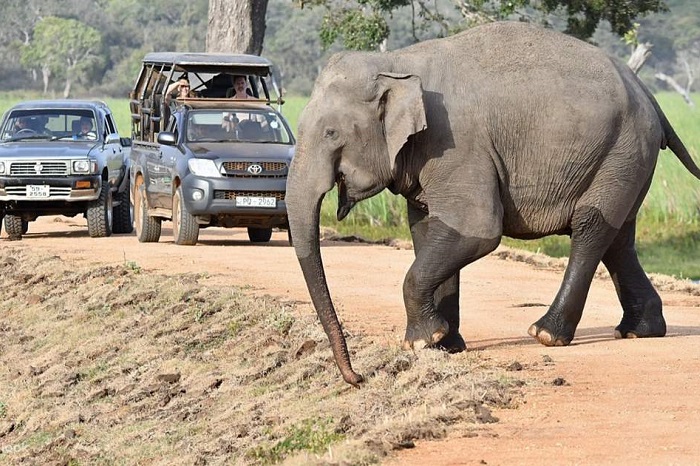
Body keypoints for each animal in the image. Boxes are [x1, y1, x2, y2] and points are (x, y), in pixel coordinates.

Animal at [284, 20, 700, 386]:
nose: (358, 378)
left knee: (591, 227)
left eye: (331, 133)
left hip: (623, 148)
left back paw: (547, 334)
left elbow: (478, 231)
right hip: (626, 158)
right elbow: (428, 230)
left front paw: (422, 341)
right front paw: (443, 344)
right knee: (618, 236)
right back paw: (640, 331)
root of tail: (648, 95)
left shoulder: (456, 144)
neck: (397, 64)